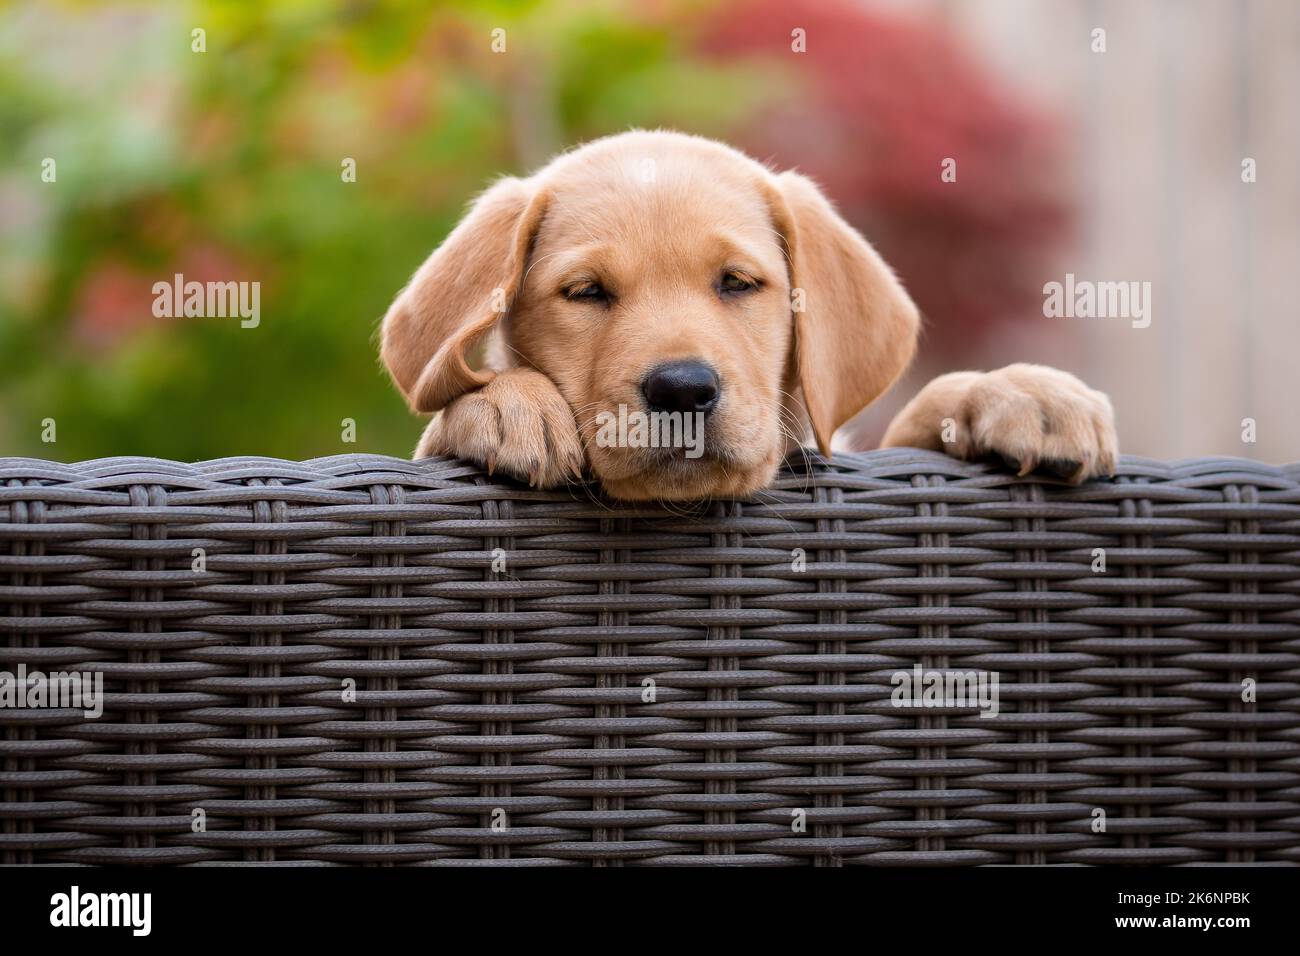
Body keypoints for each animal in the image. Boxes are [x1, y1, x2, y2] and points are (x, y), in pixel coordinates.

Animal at [379, 130, 1118, 502]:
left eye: (737, 283)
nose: (682, 390)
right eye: (586, 293)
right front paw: (509, 403)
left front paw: (1017, 392)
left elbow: (911, 420)